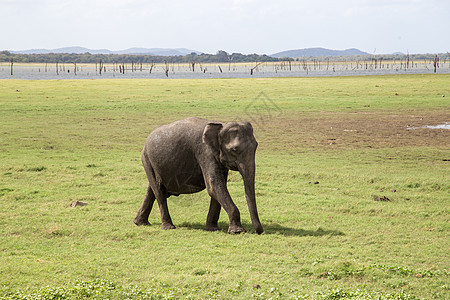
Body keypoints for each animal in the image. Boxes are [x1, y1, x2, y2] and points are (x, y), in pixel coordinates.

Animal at [134, 116, 262, 234]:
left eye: (256, 146)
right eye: (234, 149)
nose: (259, 231)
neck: (221, 125)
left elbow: (218, 186)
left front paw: (213, 229)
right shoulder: (204, 151)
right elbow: (214, 185)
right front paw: (237, 231)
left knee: (152, 190)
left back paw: (140, 223)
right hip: (147, 159)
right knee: (159, 192)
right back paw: (168, 227)